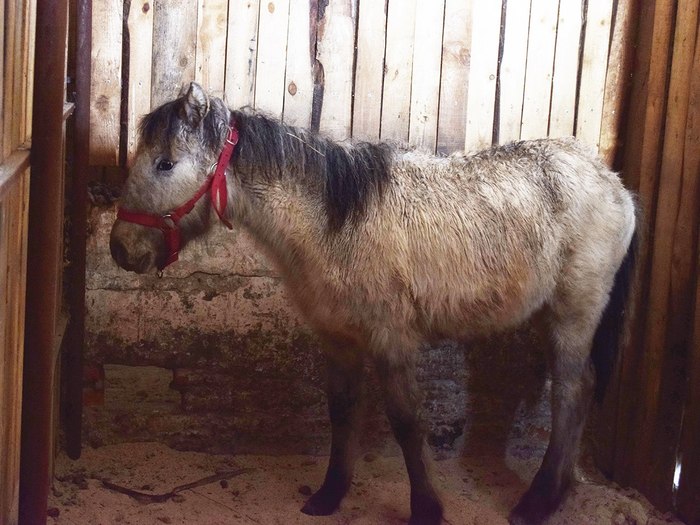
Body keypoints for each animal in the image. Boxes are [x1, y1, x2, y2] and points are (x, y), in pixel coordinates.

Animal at [109, 83, 640, 524]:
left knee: (570, 391)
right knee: (581, 389)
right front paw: (329, 496)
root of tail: (615, 185)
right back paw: (560, 489)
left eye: (165, 164)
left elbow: (407, 422)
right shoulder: (339, 340)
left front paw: (426, 508)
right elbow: (343, 412)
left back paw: (538, 501)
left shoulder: (391, 341)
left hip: (573, 314)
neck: (334, 223)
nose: (120, 249)